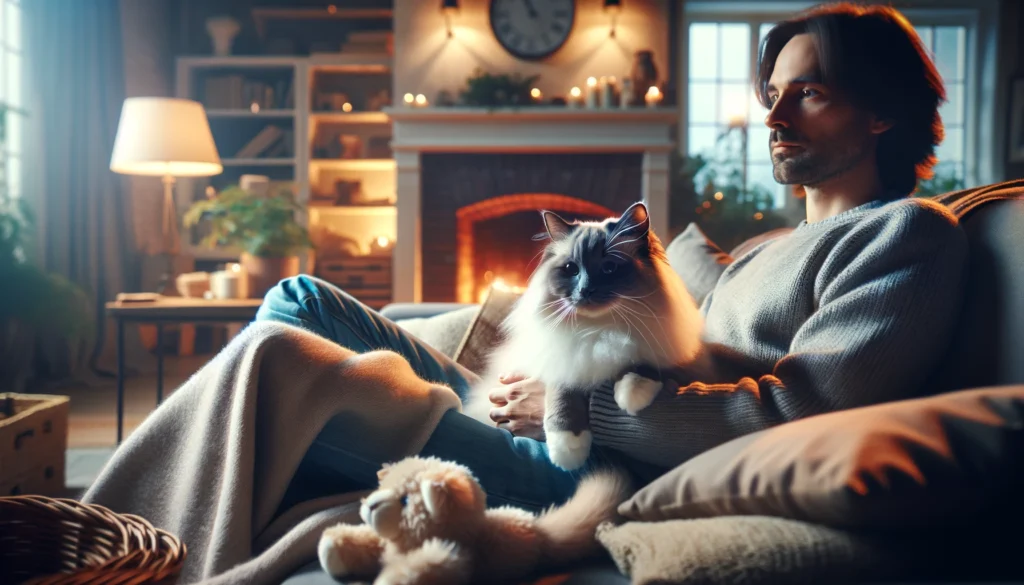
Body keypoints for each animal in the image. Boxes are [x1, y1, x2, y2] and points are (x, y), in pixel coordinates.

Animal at [462, 201, 708, 471]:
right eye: (571, 269)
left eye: (609, 268)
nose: (585, 290)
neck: (600, 331)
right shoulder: (565, 361)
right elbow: (563, 398)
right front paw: (568, 449)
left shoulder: (665, 350)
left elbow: (642, 365)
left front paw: (632, 395)